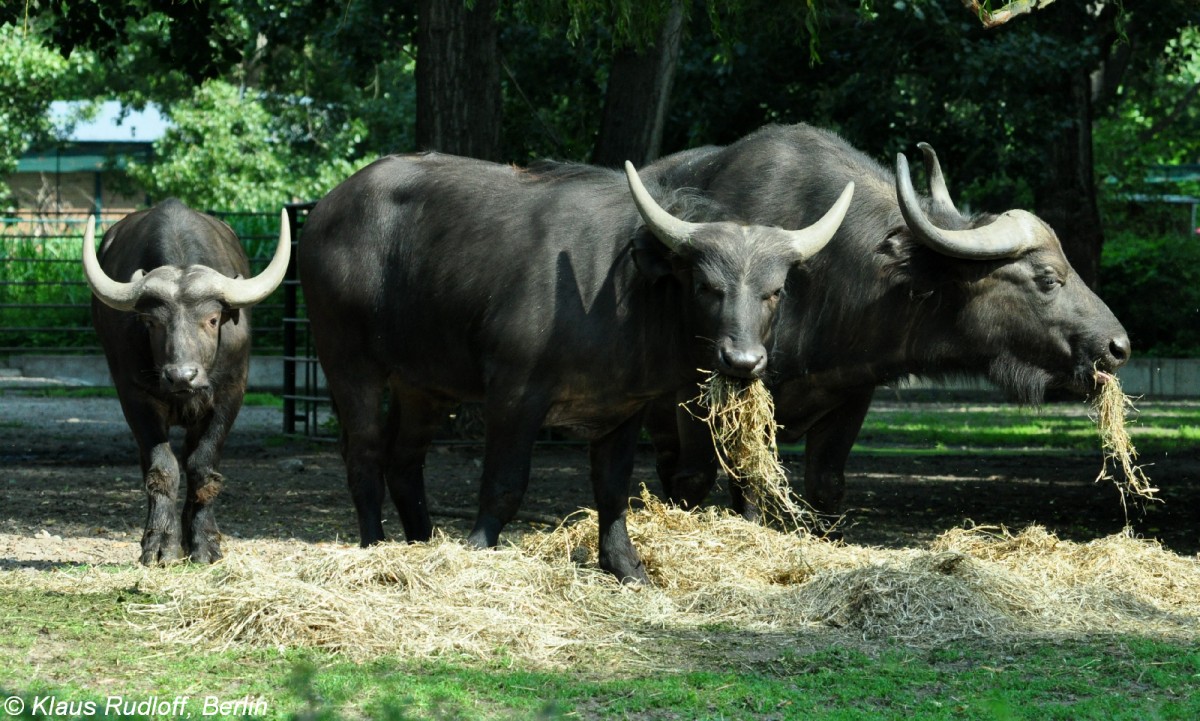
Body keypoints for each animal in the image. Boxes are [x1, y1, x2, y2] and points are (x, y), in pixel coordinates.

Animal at [82, 197, 290, 561]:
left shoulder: (229, 395)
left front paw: (204, 543)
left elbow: (201, 467)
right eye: (151, 322)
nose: (182, 376)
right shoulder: (135, 397)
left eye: (212, 319)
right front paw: (160, 543)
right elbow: (163, 469)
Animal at [297, 154, 854, 583]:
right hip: (347, 361)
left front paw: (627, 568)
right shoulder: (514, 393)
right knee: (365, 453)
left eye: (774, 291)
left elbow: (612, 490)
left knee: (404, 460)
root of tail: (326, 210)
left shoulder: (624, 409)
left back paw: (422, 542)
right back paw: (375, 544)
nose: (742, 360)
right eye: (706, 286)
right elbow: (504, 483)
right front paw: (478, 548)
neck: (618, 290)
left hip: (422, 385)